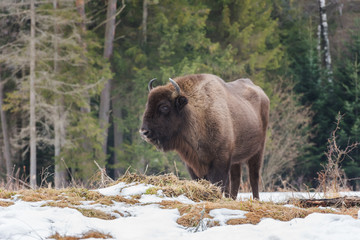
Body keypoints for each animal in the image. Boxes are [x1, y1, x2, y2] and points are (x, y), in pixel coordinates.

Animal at [139, 74, 268, 200]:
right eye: (147, 104)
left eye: (164, 107)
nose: (144, 132)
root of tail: (262, 93)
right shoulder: (192, 162)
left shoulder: (221, 160)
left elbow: (219, 182)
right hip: (236, 159)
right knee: (236, 178)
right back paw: (232, 199)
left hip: (258, 151)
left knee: (254, 176)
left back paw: (256, 199)